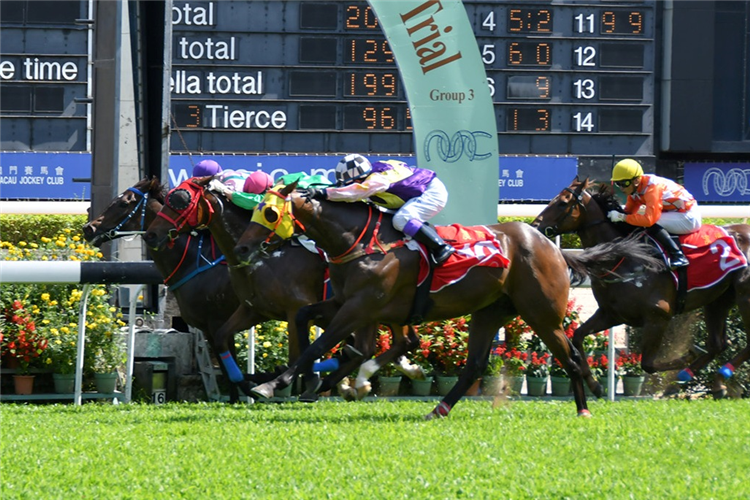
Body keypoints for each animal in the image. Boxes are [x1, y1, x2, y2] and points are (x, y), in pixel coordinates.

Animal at [82, 178, 247, 400]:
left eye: (123, 203)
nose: (89, 228)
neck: (195, 260)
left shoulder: (218, 323)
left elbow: (232, 375)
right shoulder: (209, 328)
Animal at [141, 178, 424, 400]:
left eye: (180, 200)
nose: (152, 235)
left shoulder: (293, 310)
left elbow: (295, 357)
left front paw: (272, 384)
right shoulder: (253, 310)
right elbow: (223, 340)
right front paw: (246, 382)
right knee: (399, 341)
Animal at [232, 182, 660, 416]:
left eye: (269, 213)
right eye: (255, 210)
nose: (241, 249)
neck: (359, 241)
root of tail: (551, 246)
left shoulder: (361, 306)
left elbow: (321, 344)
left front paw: (273, 385)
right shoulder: (347, 303)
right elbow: (307, 319)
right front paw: (305, 382)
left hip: (542, 313)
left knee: (569, 355)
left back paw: (584, 408)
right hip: (490, 312)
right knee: (473, 366)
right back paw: (437, 409)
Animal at [532, 178, 750, 396]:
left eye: (562, 202)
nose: (535, 225)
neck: (621, 258)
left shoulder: (658, 316)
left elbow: (648, 364)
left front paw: (687, 356)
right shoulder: (611, 314)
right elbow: (578, 336)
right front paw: (595, 386)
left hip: (743, 294)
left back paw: (716, 373)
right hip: (719, 298)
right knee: (717, 344)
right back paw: (706, 382)